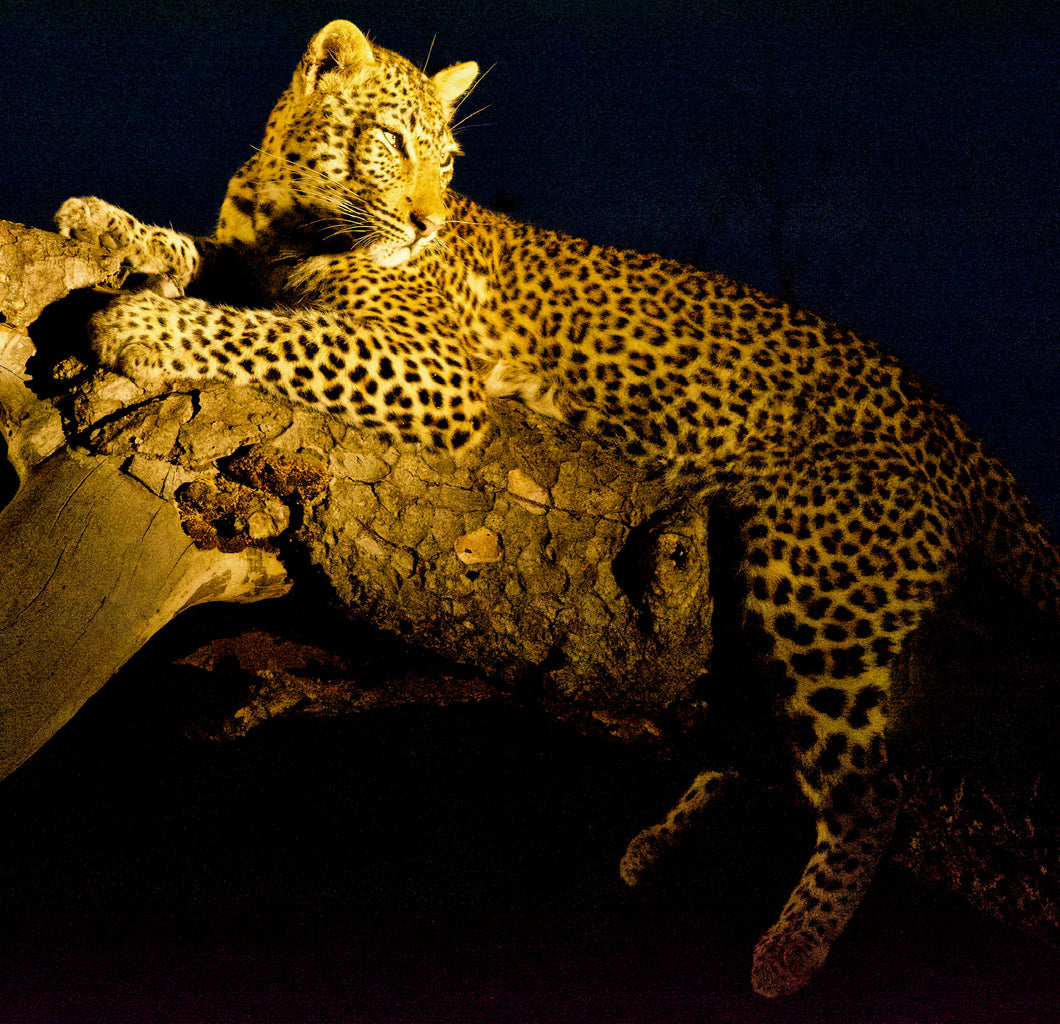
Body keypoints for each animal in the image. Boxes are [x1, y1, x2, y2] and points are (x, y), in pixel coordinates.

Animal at [55, 20, 1060, 996]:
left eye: (447, 160)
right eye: (391, 142)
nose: (426, 220)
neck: (284, 209)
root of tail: (951, 422)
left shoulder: (436, 372)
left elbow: (264, 334)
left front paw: (138, 325)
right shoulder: (260, 259)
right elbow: (210, 263)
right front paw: (113, 227)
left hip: (815, 573)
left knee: (870, 791)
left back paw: (790, 947)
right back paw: (660, 846)